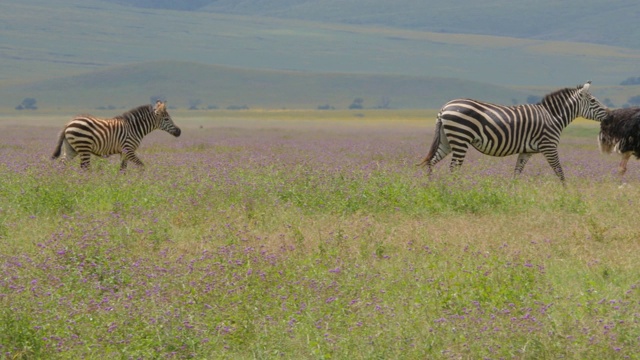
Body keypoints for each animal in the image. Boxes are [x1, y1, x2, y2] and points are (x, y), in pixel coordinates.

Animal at [51, 100, 181, 170]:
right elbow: (141, 166)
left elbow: (122, 169)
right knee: (85, 168)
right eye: (166, 119)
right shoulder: (128, 149)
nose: (179, 132)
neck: (134, 128)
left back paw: (62, 182)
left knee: (62, 164)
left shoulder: (124, 153)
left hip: (71, 149)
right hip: (84, 147)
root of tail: (68, 123)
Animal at [420, 82, 608, 183]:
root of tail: (445, 107)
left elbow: (517, 172)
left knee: (431, 162)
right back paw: (455, 188)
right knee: (453, 167)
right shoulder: (549, 146)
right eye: (593, 101)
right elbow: (559, 171)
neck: (552, 116)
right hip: (460, 138)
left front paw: (512, 192)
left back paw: (432, 187)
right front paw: (567, 193)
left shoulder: (526, 151)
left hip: (447, 140)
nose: (609, 114)